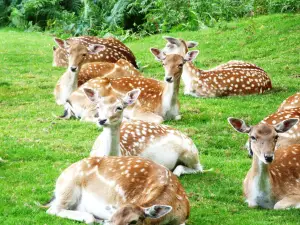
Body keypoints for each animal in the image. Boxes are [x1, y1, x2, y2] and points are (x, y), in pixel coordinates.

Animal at [58, 50, 199, 123]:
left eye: (181, 64)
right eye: (163, 63)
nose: (168, 78)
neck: (166, 106)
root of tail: (69, 100)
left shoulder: (177, 114)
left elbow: (179, 116)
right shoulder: (140, 109)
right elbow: (159, 119)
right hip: (93, 102)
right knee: (86, 117)